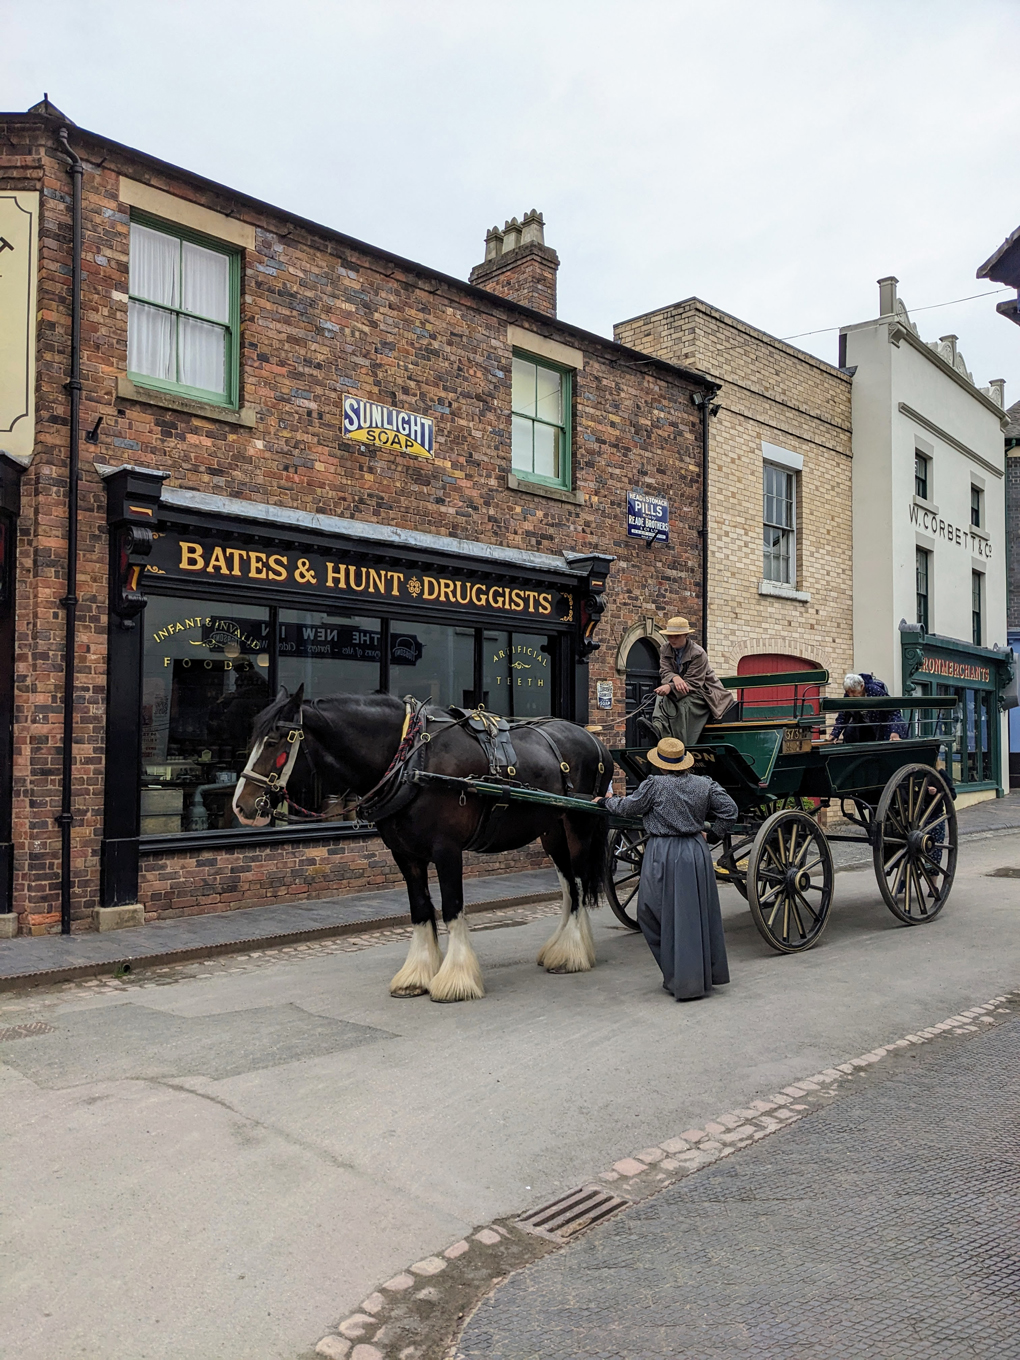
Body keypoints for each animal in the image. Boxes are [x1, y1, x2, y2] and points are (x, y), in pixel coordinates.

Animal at [232, 690, 614, 1000]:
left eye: (275, 742)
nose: (241, 806)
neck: (411, 762)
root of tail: (595, 741)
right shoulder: (404, 853)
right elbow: (419, 909)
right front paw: (416, 976)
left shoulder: (447, 849)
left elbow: (452, 907)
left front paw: (456, 980)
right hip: (552, 831)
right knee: (569, 887)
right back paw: (560, 949)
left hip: (580, 825)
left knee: (580, 884)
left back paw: (573, 954)